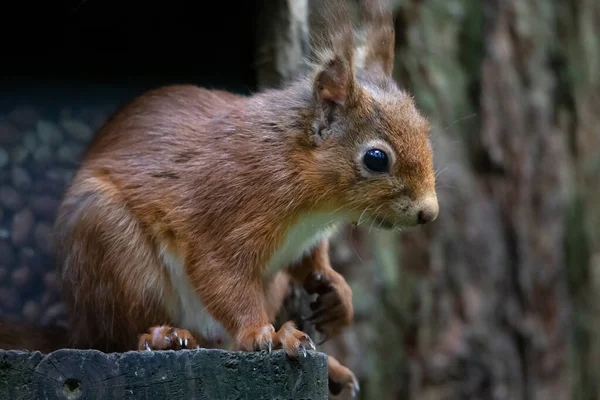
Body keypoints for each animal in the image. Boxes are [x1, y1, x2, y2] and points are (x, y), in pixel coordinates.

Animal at [1, 0, 440, 396]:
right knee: (116, 337)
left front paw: (336, 293)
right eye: (376, 158)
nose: (429, 212)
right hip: (108, 242)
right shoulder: (228, 209)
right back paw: (161, 337)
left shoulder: (304, 240)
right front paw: (267, 334)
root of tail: (75, 329)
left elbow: (311, 263)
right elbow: (221, 275)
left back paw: (330, 367)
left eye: (425, 128)